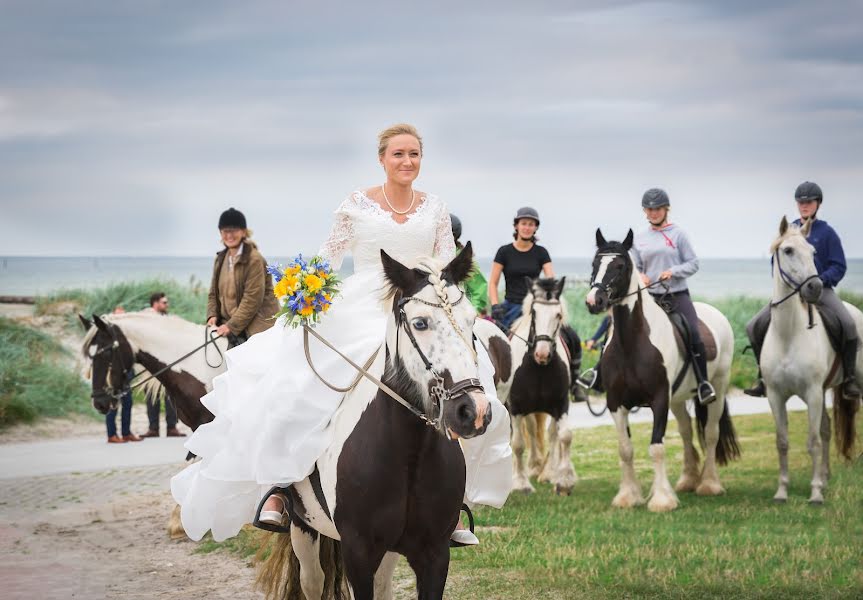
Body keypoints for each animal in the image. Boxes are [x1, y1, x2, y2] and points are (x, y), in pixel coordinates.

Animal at [258, 245, 492, 600]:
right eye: (420, 323)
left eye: (472, 320)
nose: (473, 410)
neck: (409, 454)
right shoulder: (358, 552)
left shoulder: (435, 554)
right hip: (302, 525)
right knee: (312, 581)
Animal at [496, 278, 576, 494]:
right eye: (534, 313)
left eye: (558, 314)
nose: (542, 354)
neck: (538, 368)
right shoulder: (516, 407)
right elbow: (517, 444)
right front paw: (521, 483)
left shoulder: (561, 403)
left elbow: (564, 436)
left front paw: (563, 481)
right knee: (527, 434)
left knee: (549, 434)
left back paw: (547, 472)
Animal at [588, 230, 744, 510]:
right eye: (595, 263)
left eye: (620, 266)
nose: (594, 301)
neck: (632, 343)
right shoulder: (616, 403)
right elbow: (625, 449)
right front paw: (627, 496)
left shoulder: (659, 399)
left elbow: (657, 447)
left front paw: (662, 499)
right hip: (678, 399)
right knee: (685, 432)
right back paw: (688, 480)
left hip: (718, 387)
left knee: (711, 433)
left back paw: (709, 484)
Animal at [768, 218, 860, 504]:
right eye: (787, 250)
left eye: (813, 252)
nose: (815, 288)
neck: (789, 333)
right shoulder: (775, 395)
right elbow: (782, 442)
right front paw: (782, 491)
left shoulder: (812, 392)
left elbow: (813, 441)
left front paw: (816, 493)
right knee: (827, 428)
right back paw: (826, 476)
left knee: (823, 432)